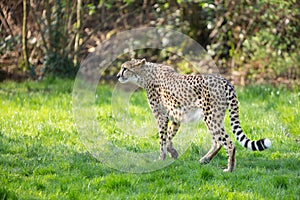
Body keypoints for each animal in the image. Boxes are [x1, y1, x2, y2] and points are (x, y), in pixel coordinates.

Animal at [116, 57, 270, 172]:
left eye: (125, 68)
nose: (117, 76)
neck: (146, 74)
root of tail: (226, 81)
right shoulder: (175, 117)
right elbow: (169, 136)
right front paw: (173, 153)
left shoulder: (161, 117)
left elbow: (162, 138)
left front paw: (161, 158)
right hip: (214, 117)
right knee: (218, 142)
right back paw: (205, 160)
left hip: (210, 117)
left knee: (228, 143)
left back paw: (229, 169)